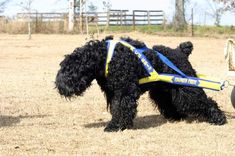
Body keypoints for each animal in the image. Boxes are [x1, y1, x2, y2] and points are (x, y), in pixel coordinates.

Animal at [55, 36, 226, 131]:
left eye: (69, 69)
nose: (59, 85)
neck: (104, 58)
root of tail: (180, 51)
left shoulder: (124, 91)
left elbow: (121, 108)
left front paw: (116, 126)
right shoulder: (114, 93)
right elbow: (116, 108)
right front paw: (119, 124)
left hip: (186, 88)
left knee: (205, 101)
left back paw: (219, 118)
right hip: (163, 91)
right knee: (171, 104)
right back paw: (177, 117)